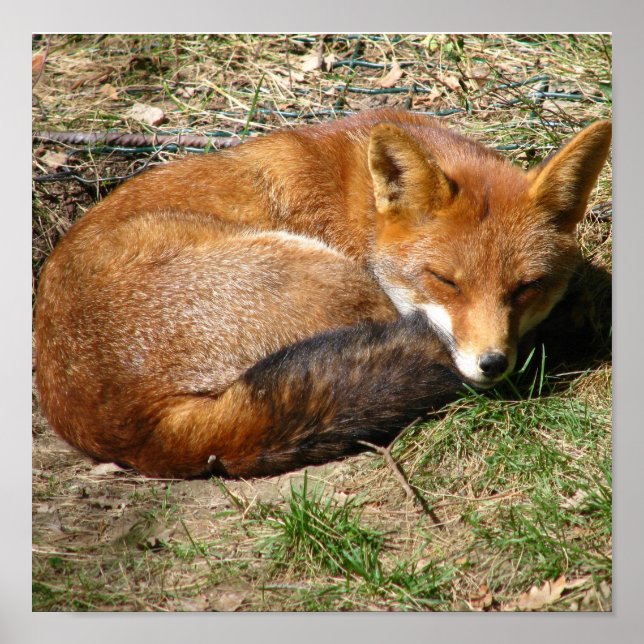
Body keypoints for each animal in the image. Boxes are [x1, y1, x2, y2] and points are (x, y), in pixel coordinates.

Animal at [34, 109, 612, 478]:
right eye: (446, 281)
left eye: (526, 287)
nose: (492, 364)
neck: (360, 207)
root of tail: (138, 432)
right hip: (334, 279)